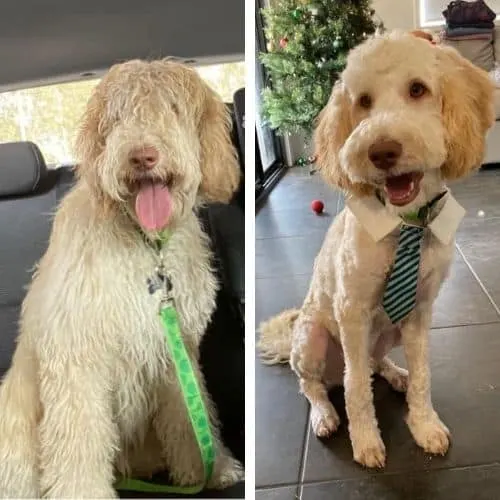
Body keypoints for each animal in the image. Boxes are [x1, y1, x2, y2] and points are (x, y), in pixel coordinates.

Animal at [0, 57, 244, 496]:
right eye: (118, 116)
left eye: (172, 109)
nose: (142, 157)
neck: (147, 245)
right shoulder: (78, 355)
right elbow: (78, 439)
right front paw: (80, 493)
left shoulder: (175, 350)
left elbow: (189, 413)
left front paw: (208, 470)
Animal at [260, 31, 494, 468]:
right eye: (363, 101)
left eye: (418, 89)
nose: (382, 151)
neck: (404, 226)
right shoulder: (352, 312)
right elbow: (355, 387)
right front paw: (366, 439)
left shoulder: (419, 312)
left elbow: (423, 375)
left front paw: (424, 424)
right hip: (312, 338)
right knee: (314, 385)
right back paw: (324, 414)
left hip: (389, 333)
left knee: (372, 363)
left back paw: (395, 373)